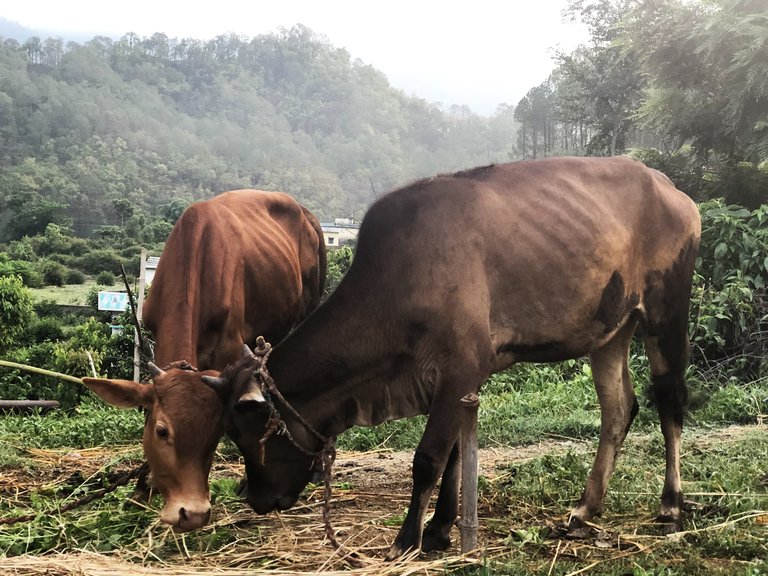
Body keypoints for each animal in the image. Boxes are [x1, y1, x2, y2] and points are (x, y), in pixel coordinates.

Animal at [82, 191, 328, 532]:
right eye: (161, 431)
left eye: (215, 434)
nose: (192, 514)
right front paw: (142, 488)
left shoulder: (231, 347)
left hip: (309, 306)